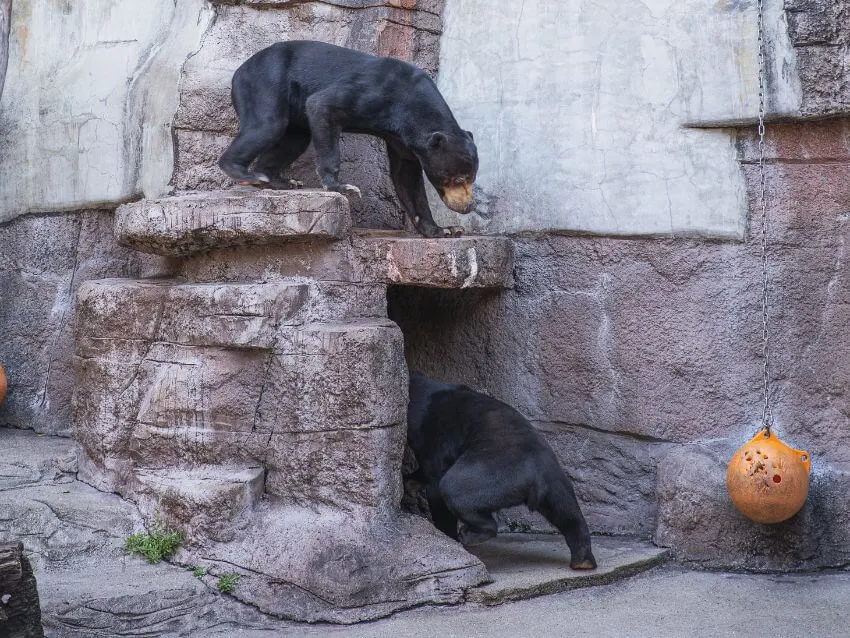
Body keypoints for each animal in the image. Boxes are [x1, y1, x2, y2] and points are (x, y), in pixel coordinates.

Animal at [217, 40, 476, 240]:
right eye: (458, 178)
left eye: (471, 178)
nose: (468, 206)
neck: (412, 106)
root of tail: (240, 69)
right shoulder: (373, 93)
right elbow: (322, 104)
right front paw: (343, 187)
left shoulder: (403, 139)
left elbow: (407, 177)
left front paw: (445, 230)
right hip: (264, 83)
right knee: (267, 124)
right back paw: (247, 173)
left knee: (294, 140)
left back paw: (280, 180)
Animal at [406, 372, 596, 572]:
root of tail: (536, 477)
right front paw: (410, 481)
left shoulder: (435, 439)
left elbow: (435, 484)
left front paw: (447, 537)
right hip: (556, 482)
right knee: (567, 513)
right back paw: (583, 560)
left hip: (491, 472)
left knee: (453, 489)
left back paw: (469, 534)